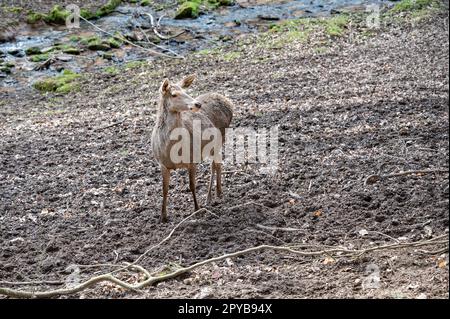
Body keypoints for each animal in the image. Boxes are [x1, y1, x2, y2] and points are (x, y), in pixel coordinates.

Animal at [153, 74, 234, 222]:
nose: (197, 104)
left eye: (185, 91)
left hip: (220, 138)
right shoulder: (162, 164)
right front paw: (163, 216)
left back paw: (213, 195)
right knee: (217, 164)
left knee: (215, 165)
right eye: (174, 94)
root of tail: (228, 102)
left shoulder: (192, 160)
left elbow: (192, 185)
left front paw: (197, 209)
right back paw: (215, 194)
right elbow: (164, 189)